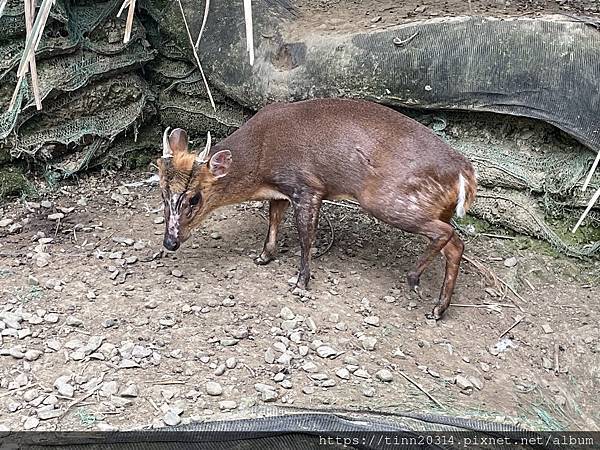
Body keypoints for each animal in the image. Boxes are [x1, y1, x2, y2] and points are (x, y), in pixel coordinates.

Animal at [157, 98, 476, 318]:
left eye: (194, 198)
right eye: (162, 192)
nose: (170, 242)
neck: (261, 159)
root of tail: (465, 173)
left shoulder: (307, 186)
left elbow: (306, 237)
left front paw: (301, 282)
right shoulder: (282, 191)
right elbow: (273, 220)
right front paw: (264, 256)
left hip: (388, 200)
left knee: (447, 234)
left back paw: (414, 279)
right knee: (455, 245)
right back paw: (438, 309)